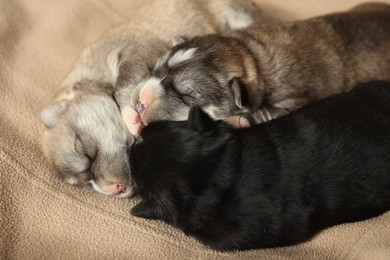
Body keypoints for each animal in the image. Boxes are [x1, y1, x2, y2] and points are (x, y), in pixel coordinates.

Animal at [38, 0, 266, 197]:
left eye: (87, 154)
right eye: (86, 183)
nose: (115, 189)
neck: (92, 75)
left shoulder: (132, 53)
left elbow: (124, 86)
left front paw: (132, 118)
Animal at [129, 2, 390, 134]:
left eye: (188, 96)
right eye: (156, 69)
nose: (140, 102)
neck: (252, 57)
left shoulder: (293, 102)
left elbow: (264, 113)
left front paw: (237, 121)